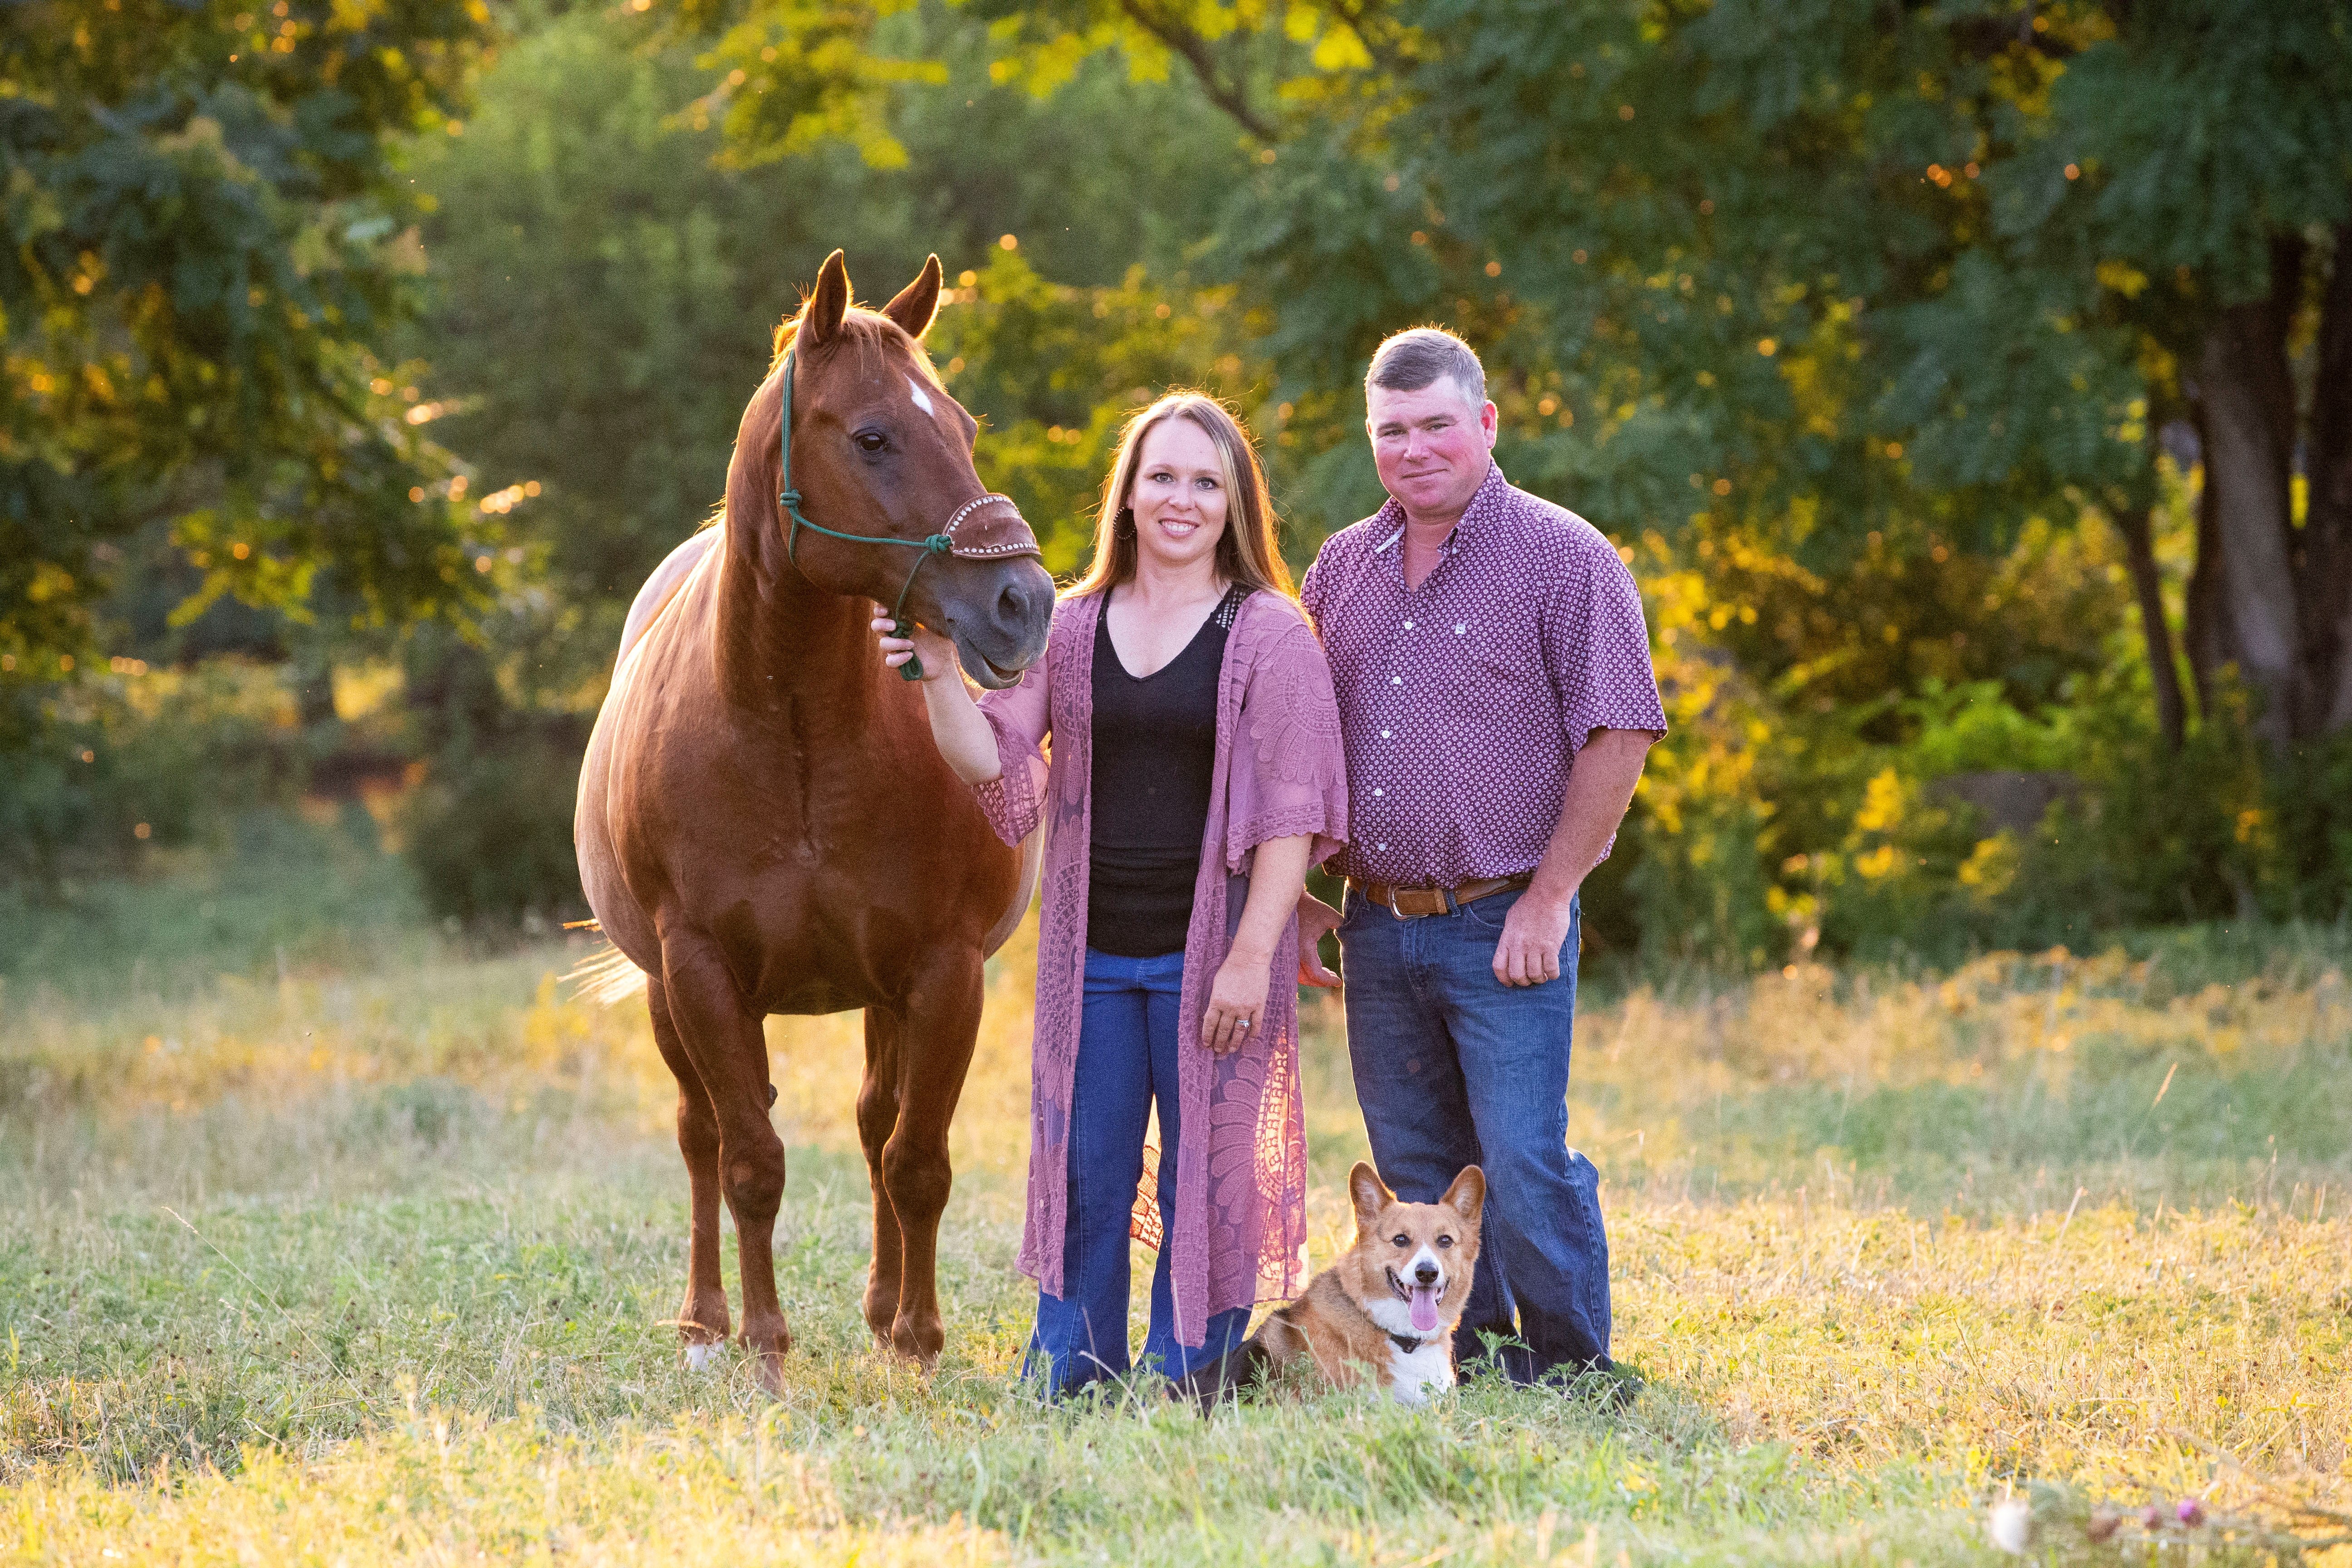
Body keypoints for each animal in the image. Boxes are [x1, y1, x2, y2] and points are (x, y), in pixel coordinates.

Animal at [573, 255, 1054, 1382]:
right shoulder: (702, 972)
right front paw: (762, 1341)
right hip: (669, 996)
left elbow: (916, 1160)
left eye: (962, 427)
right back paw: (704, 1317)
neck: (794, 739)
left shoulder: (942, 970)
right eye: (873, 436)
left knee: (877, 1126)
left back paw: (879, 1308)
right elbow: (749, 1159)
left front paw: (916, 1337)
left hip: (883, 993)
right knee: (699, 1135)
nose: (1023, 599)